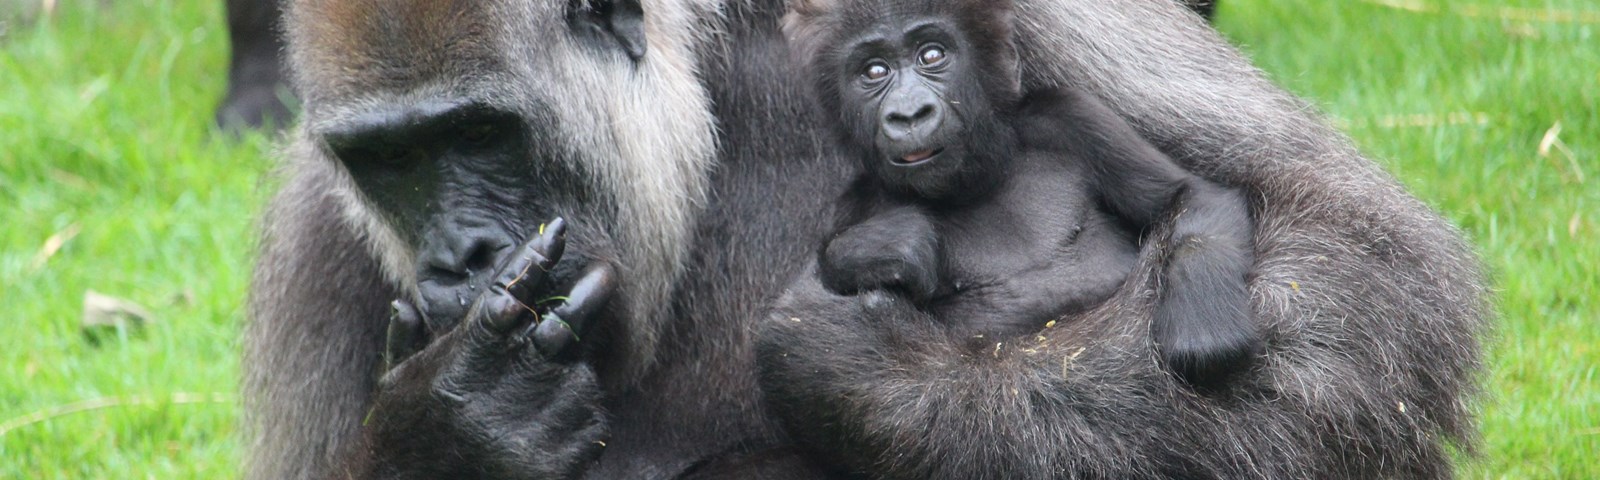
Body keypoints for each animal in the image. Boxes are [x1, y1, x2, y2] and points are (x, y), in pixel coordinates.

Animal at [795, 0, 1259, 389]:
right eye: (874, 72)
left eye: (932, 55)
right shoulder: (857, 203)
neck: (982, 177)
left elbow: (1191, 194)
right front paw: (887, 245)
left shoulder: (1070, 118)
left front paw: (1204, 315)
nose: (908, 114)